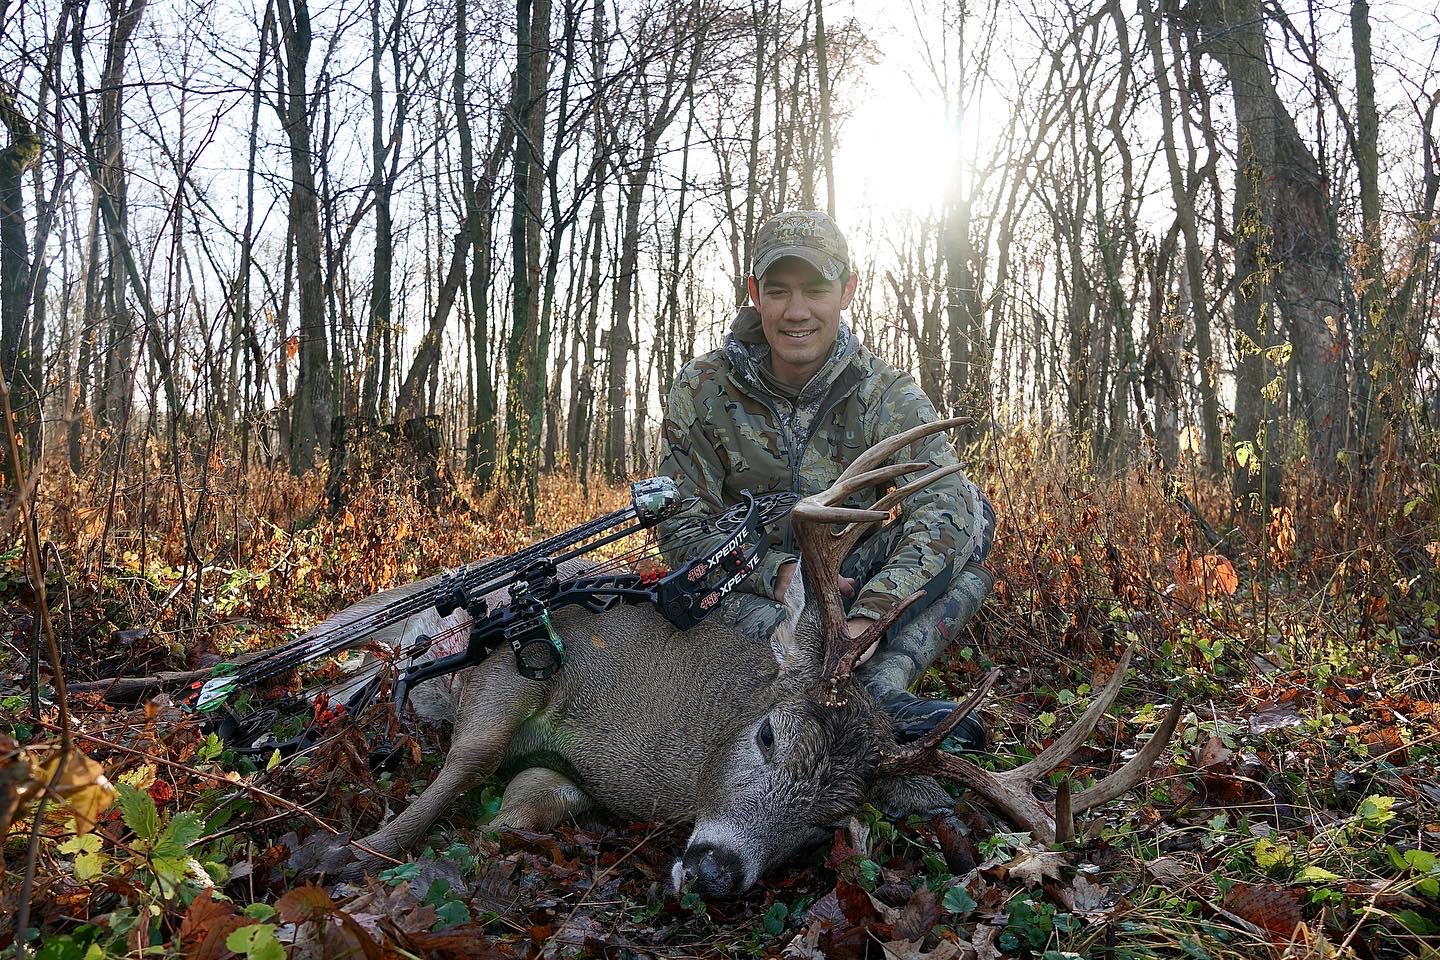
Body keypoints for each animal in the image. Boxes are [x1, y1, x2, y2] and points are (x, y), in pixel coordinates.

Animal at [318, 419, 1182, 898]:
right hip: (375, 619)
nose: (714, 872)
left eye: (829, 821)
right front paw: (351, 855)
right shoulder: (520, 657)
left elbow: (530, 799)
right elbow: (469, 760)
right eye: (768, 736)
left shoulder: (568, 773)